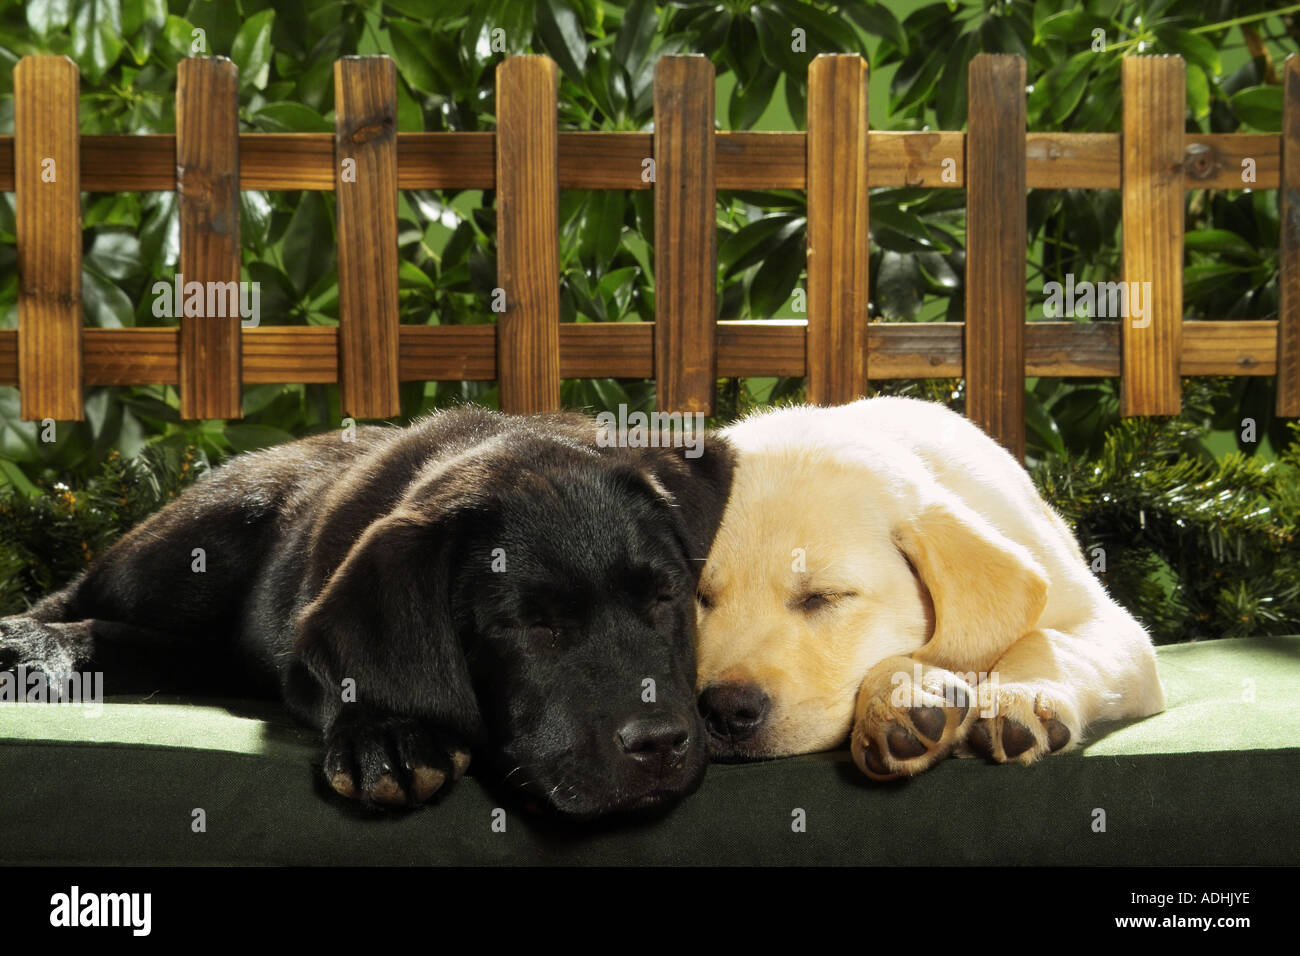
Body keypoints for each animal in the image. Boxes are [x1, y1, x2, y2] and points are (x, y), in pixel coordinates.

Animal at [0, 408, 733, 816]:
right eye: (530, 627)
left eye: (665, 597)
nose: (660, 742)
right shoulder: (305, 653)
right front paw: (389, 733)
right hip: (203, 539)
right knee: (75, 599)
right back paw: (30, 645)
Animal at [696, 395, 1164, 780]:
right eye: (696, 598)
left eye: (824, 597)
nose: (725, 710)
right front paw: (901, 696)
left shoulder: (1110, 626)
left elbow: (1049, 642)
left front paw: (1023, 692)